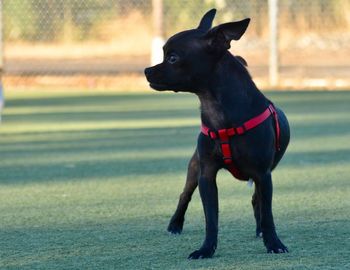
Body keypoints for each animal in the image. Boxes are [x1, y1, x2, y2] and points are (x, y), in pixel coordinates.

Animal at [145, 8, 290, 260]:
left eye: (172, 58)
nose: (146, 71)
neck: (217, 109)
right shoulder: (207, 176)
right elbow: (211, 218)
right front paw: (206, 249)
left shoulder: (263, 175)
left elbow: (268, 213)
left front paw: (274, 243)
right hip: (194, 167)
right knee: (185, 195)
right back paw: (175, 225)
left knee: (257, 201)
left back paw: (260, 230)